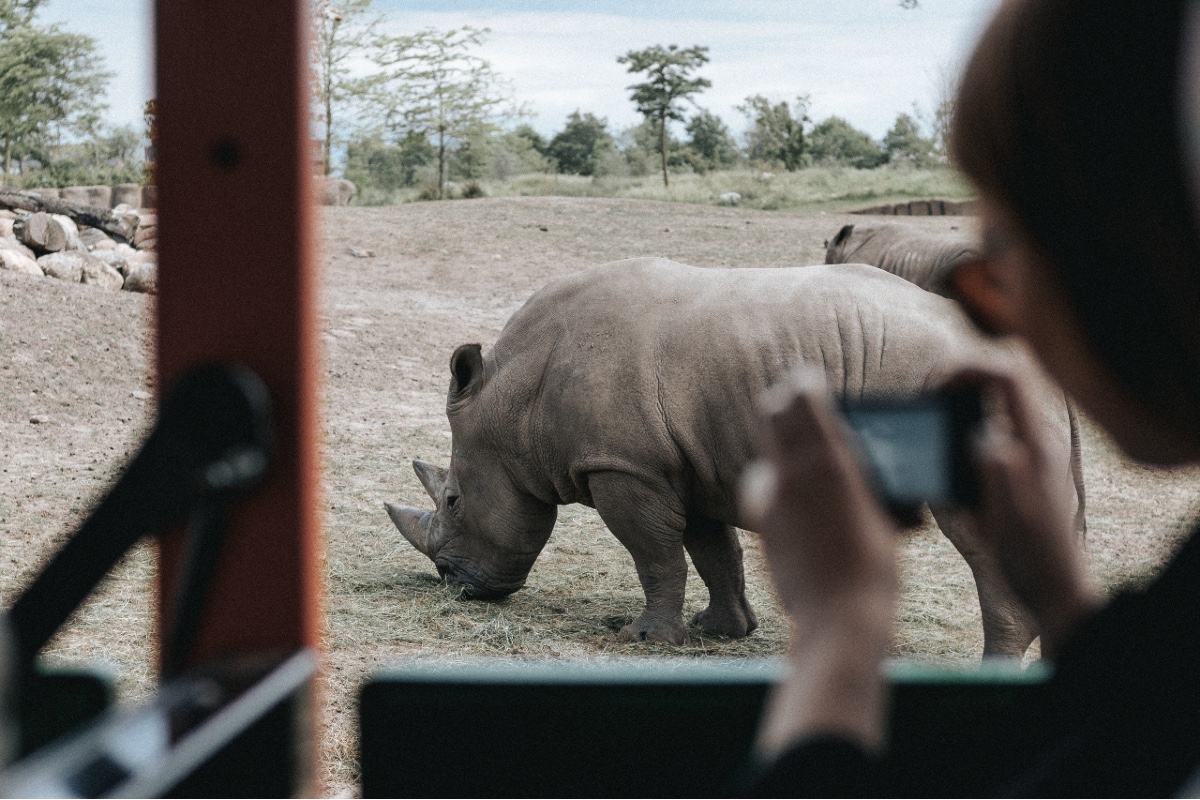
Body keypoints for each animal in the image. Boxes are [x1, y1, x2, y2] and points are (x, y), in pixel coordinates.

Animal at [386, 258, 1083, 656]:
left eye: (454, 500)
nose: (454, 585)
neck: (514, 400)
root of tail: (1033, 363)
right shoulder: (685, 462)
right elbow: (711, 549)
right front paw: (721, 631)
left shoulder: (624, 465)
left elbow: (655, 553)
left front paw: (642, 640)